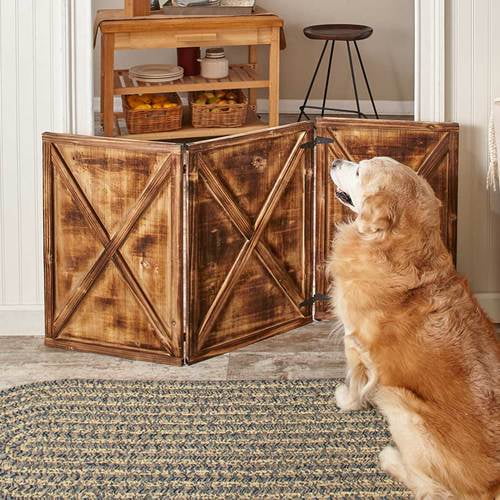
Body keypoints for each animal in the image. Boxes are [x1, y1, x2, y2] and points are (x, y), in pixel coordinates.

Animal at [328, 157, 500, 500]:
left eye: (359, 171)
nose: (336, 160)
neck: (400, 252)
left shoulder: (354, 342)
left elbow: (355, 382)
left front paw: (347, 401)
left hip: (403, 408)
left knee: (434, 489)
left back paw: (391, 458)